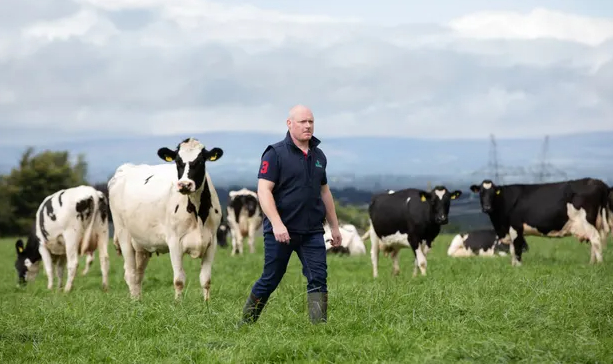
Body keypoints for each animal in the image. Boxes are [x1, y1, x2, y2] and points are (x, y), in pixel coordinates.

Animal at [107, 137, 222, 302]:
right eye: (178, 161)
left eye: (200, 161)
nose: (185, 184)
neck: (198, 213)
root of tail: (125, 168)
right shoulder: (174, 241)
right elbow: (179, 279)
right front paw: (179, 304)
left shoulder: (211, 241)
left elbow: (206, 279)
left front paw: (206, 304)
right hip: (123, 234)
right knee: (130, 273)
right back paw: (134, 302)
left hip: (141, 243)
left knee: (138, 274)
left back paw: (139, 301)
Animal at [468, 178, 608, 266]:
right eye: (481, 192)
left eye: (493, 193)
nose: (486, 207)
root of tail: (597, 182)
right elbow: (512, 249)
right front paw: (513, 266)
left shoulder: (516, 227)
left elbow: (517, 249)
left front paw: (518, 266)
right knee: (593, 243)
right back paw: (591, 264)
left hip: (586, 221)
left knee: (595, 239)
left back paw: (599, 265)